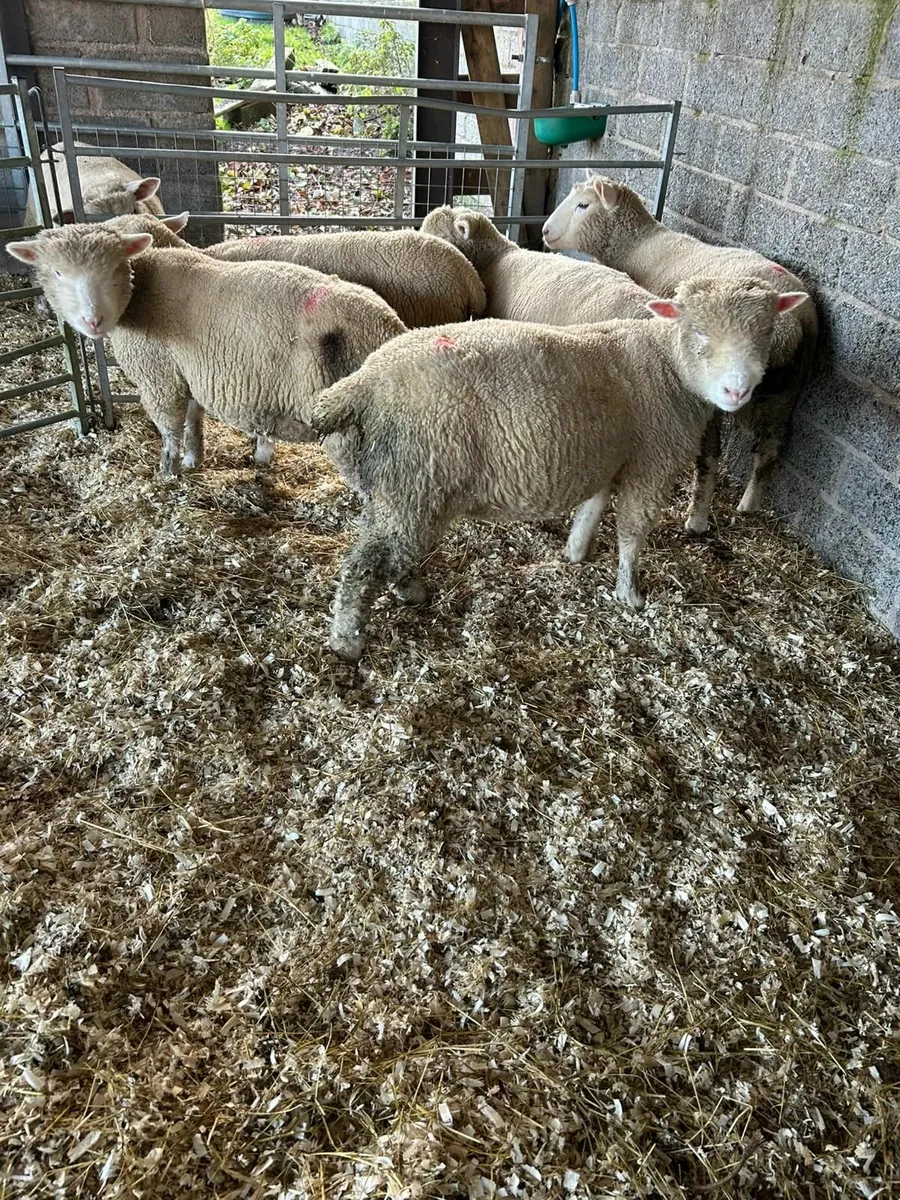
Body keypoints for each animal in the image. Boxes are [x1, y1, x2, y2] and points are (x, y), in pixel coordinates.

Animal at [6, 222, 406, 479]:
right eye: (57, 272)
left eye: (115, 269)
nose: (92, 321)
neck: (139, 292)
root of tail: (387, 328)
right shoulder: (188, 370)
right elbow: (192, 418)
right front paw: (193, 458)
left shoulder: (158, 376)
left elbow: (169, 426)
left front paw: (168, 474)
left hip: (351, 429)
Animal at [310, 277, 808, 661]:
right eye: (699, 332)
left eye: (765, 332)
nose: (737, 391)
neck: (667, 362)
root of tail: (362, 382)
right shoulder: (653, 461)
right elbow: (632, 531)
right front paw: (630, 594)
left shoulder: (609, 456)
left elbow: (593, 506)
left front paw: (575, 551)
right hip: (418, 479)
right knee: (364, 564)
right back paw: (348, 642)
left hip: (397, 486)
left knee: (385, 551)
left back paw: (406, 591)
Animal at [542, 176, 819, 531]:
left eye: (583, 205)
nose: (546, 231)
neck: (639, 243)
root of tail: (789, 326)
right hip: (786, 395)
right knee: (770, 449)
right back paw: (748, 505)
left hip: (716, 394)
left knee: (710, 455)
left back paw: (696, 518)